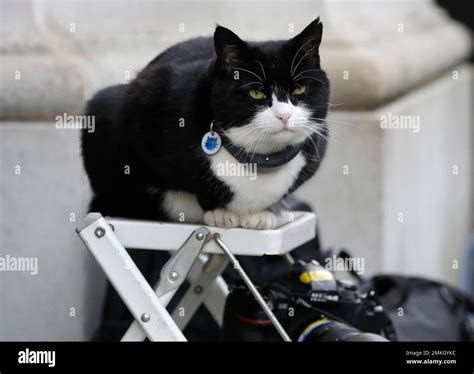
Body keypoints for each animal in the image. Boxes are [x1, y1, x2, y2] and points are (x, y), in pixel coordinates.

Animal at [82, 17, 330, 229]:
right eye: (256, 93)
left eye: (299, 89)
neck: (259, 158)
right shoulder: (145, 99)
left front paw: (264, 213)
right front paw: (220, 212)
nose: (284, 116)